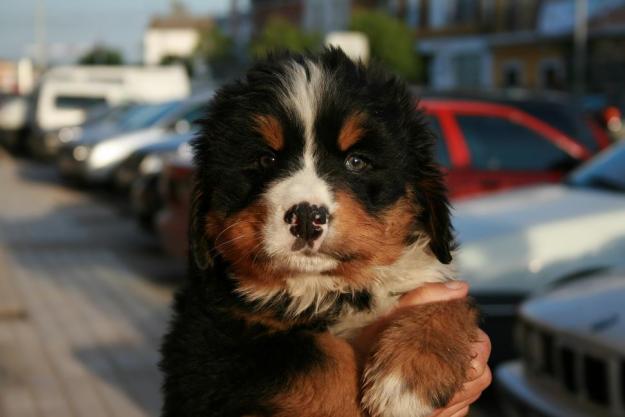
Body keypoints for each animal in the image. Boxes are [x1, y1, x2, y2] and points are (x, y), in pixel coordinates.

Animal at [161, 48, 478, 416]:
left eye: (357, 162)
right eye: (266, 159)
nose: (306, 217)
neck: (326, 289)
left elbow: (451, 304)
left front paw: (409, 378)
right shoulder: (206, 343)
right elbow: (319, 354)